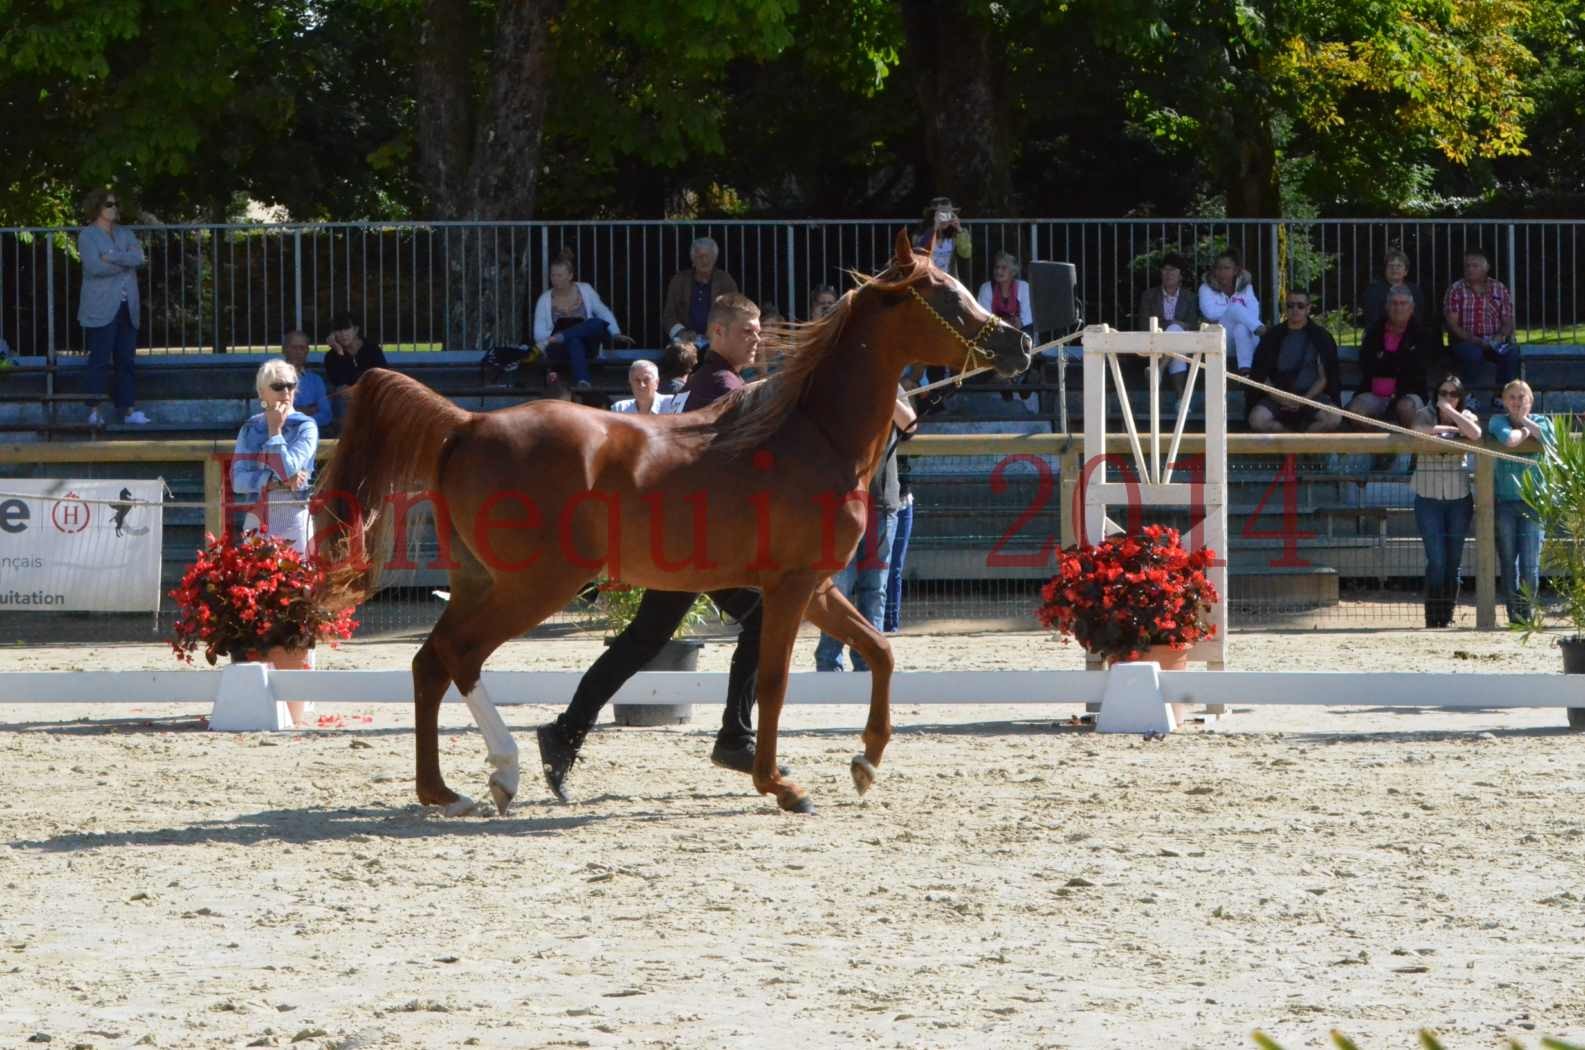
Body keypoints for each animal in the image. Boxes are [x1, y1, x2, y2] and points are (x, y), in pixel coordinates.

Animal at [315, 234, 1033, 818]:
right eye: (944, 296)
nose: (1018, 343)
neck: (812, 435)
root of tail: (467, 423)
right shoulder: (792, 587)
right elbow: (773, 681)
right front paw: (781, 785)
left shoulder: (817, 587)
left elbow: (880, 652)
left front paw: (864, 763)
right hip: (534, 586)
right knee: (459, 654)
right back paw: (506, 773)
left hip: (478, 581)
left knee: (429, 662)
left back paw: (446, 789)